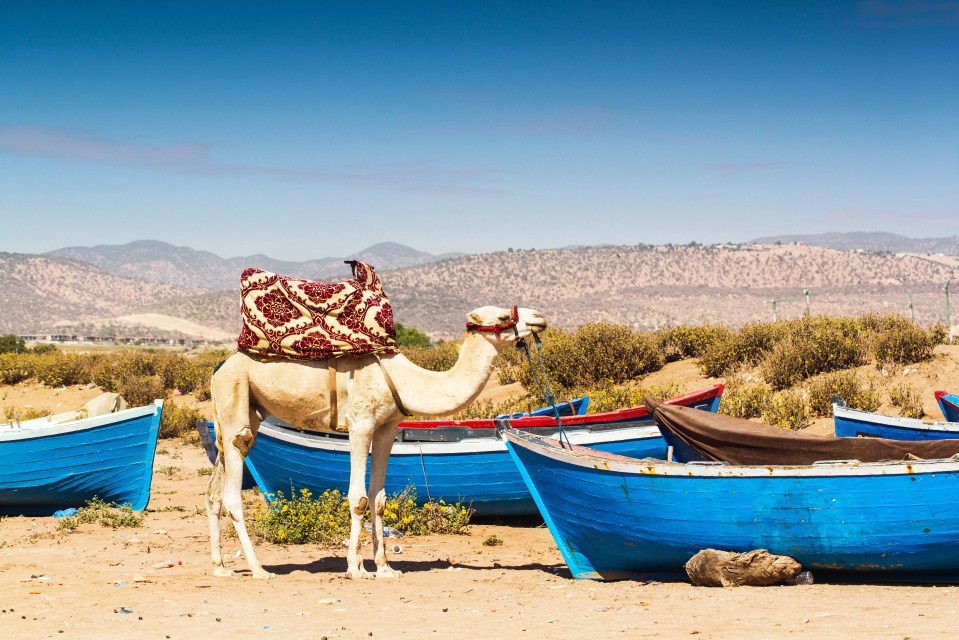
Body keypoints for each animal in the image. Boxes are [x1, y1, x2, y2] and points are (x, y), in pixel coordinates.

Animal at [205, 304, 544, 580]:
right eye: (503, 317)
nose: (539, 319)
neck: (405, 380)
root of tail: (220, 367)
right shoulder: (361, 424)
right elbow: (358, 498)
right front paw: (355, 568)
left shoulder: (387, 428)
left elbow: (378, 499)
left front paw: (384, 567)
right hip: (235, 399)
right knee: (233, 488)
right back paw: (258, 568)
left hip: (246, 410)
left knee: (214, 492)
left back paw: (220, 566)